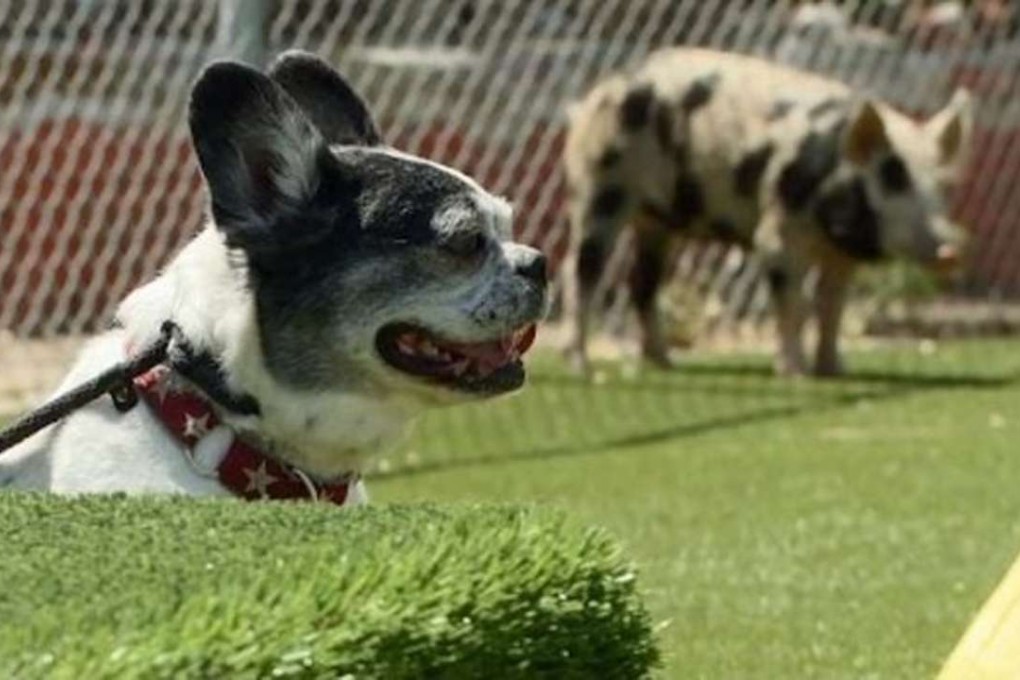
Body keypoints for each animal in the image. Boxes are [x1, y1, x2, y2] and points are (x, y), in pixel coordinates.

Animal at [561, 48, 972, 376]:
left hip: (657, 223)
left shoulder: (840, 255)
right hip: (598, 187)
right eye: (893, 179)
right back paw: (582, 366)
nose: (951, 250)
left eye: (943, 186)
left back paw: (666, 363)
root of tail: (597, 92)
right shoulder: (777, 231)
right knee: (581, 269)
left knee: (642, 281)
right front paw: (796, 375)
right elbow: (796, 304)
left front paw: (835, 371)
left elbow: (832, 307)